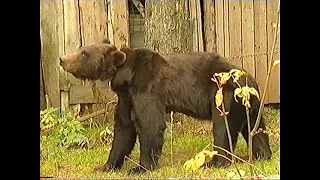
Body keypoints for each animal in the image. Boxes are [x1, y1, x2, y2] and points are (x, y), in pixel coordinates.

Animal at [58, 41, 272, 174]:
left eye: (83, 53)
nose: (62, 59)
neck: (126, 77)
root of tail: (249, 81)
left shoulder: (147, 89)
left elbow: (149, 124)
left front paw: (140, 168)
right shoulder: (126, 97)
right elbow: (124, 128)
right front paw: (106, 166)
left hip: (223, 95)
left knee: (222, 127)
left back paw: (216, 162)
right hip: (250, 104)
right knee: (256, 129)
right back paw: (262, 155)